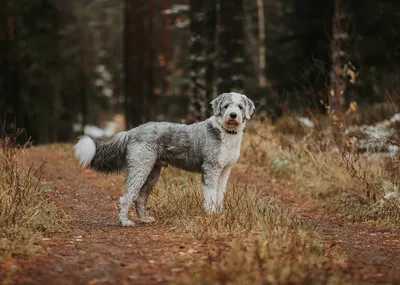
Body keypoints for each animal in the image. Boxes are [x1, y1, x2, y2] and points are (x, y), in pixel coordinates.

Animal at [73, 92, 255, 225]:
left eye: (240, 106)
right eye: (226, 106)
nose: (233, 115)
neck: (225, 132)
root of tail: (132, 131)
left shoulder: (224, 170)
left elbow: (219, 195)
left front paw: (219, 213)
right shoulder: (211, 169)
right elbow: (210, 195)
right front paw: (211, 215)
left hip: (153, 172)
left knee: (140, 198)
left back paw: (145, 219)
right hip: (141, 168)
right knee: (126, 197)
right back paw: (125, 222)